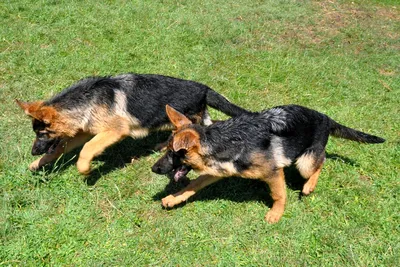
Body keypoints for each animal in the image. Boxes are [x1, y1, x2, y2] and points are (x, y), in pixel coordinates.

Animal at [17, 74, 248, 176]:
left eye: (42, 133)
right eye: (36, 133)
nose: (33, 152)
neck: (86, 100)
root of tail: (204, 89)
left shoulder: (114, 131)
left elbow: (87, 149)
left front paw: (84, 169)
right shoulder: (84, 132)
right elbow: (60, 149)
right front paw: (37, 164)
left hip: (186, 121)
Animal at [151, 104, 384, 224]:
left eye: (173, 153)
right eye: (166, 150)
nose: (153, 169)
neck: (223, 141)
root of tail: (326, 118)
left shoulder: (273, 172)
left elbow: (278, 195)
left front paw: (276, 213)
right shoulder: (217, 171)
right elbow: (193, 185)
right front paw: (174, 198)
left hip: (305, 162)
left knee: (321, 162)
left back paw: (309, 186)